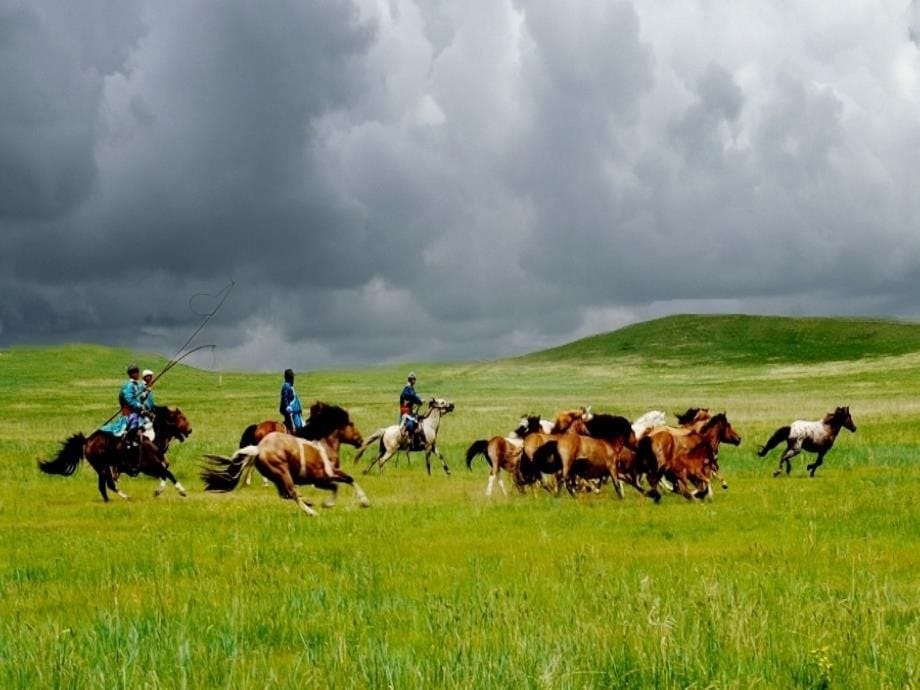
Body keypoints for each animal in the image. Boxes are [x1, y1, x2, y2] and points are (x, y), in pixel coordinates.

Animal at [38, 404, 193, 500]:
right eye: (182, 418)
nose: (190, 430)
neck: (152, 439)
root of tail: (87, 441)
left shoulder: (156, 467)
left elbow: (165, 474)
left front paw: (158, 491)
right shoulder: (149, 467)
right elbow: (168, 473)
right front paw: (182, 491)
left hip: (103, 468)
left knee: (103, 486)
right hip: (102, 467)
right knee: (108, 485)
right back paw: (125, 497)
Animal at [203, 400, 368, 512]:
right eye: (351, 424)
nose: (360, 440)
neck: (324, 446)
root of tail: (259, 448)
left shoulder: (329, 475)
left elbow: (346, 481)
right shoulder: (323, 477)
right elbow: (341, 483)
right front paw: (357, 501)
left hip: (278, 474)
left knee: (284, 493)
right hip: (282, 472)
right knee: (289, 492)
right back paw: (309, 509)